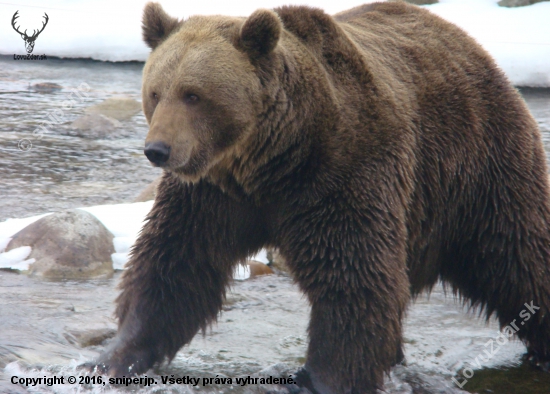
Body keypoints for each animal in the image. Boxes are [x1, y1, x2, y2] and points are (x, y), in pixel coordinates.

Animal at [85, 1, 550, 392]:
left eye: (193, 94)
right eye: (155, 92)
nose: (158, 150)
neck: (266, 161)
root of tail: (467, 42)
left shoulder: (342, 171)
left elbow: (351, 276)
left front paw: (323, 378)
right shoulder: (211, 195)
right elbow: (175, 265)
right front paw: (110, 358)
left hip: (478, 167)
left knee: (518, 255)